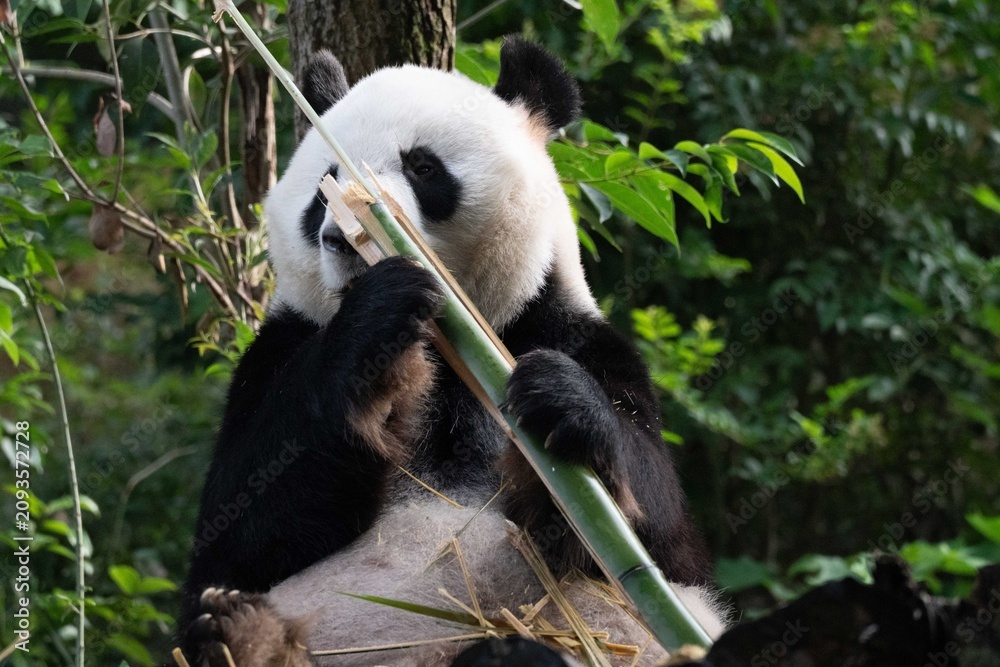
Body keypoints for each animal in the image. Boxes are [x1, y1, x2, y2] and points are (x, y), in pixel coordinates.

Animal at [178, 37, 725, 667]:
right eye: (324, 187)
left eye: (422, 167)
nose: (344, 239)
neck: (449, 343)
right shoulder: (276, 353)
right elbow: (238, 535)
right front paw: (380, 314)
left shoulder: (564, 332)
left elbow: (662, 538)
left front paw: (563, 401)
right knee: (220, 615)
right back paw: (245, 634)